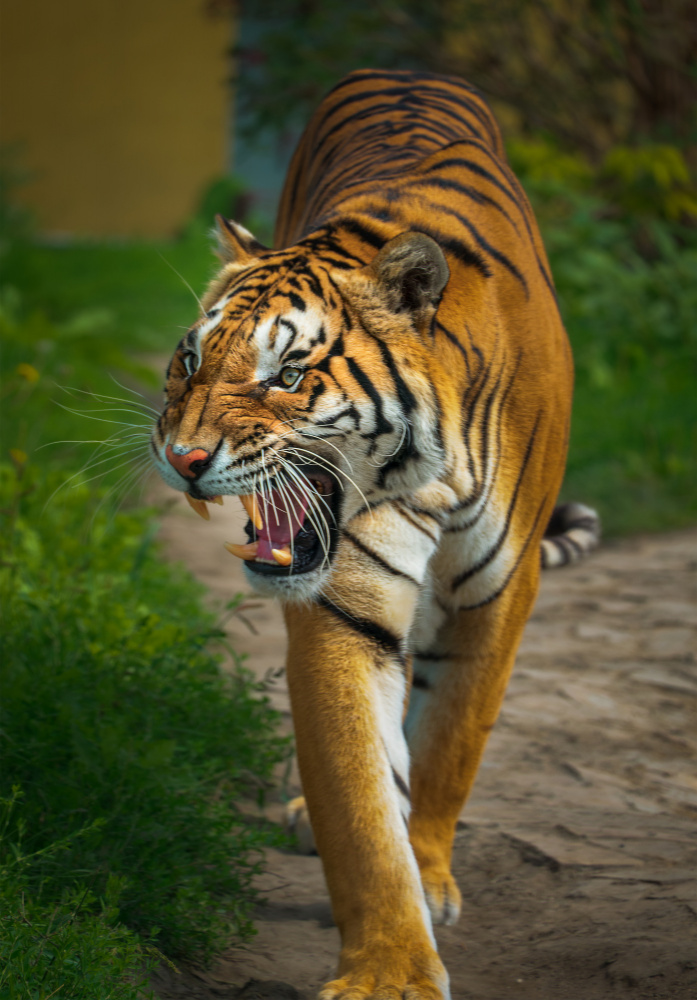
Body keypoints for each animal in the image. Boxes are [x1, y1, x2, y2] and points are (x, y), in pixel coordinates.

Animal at [152, 69, 599, 1000]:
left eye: (287, 374)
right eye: (190, 361)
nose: (181, 460)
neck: (433, 473)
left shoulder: (499, 595)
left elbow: (448, 745)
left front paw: (427, 878)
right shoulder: (343, 607)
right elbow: (359, 798)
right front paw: (389, 971)